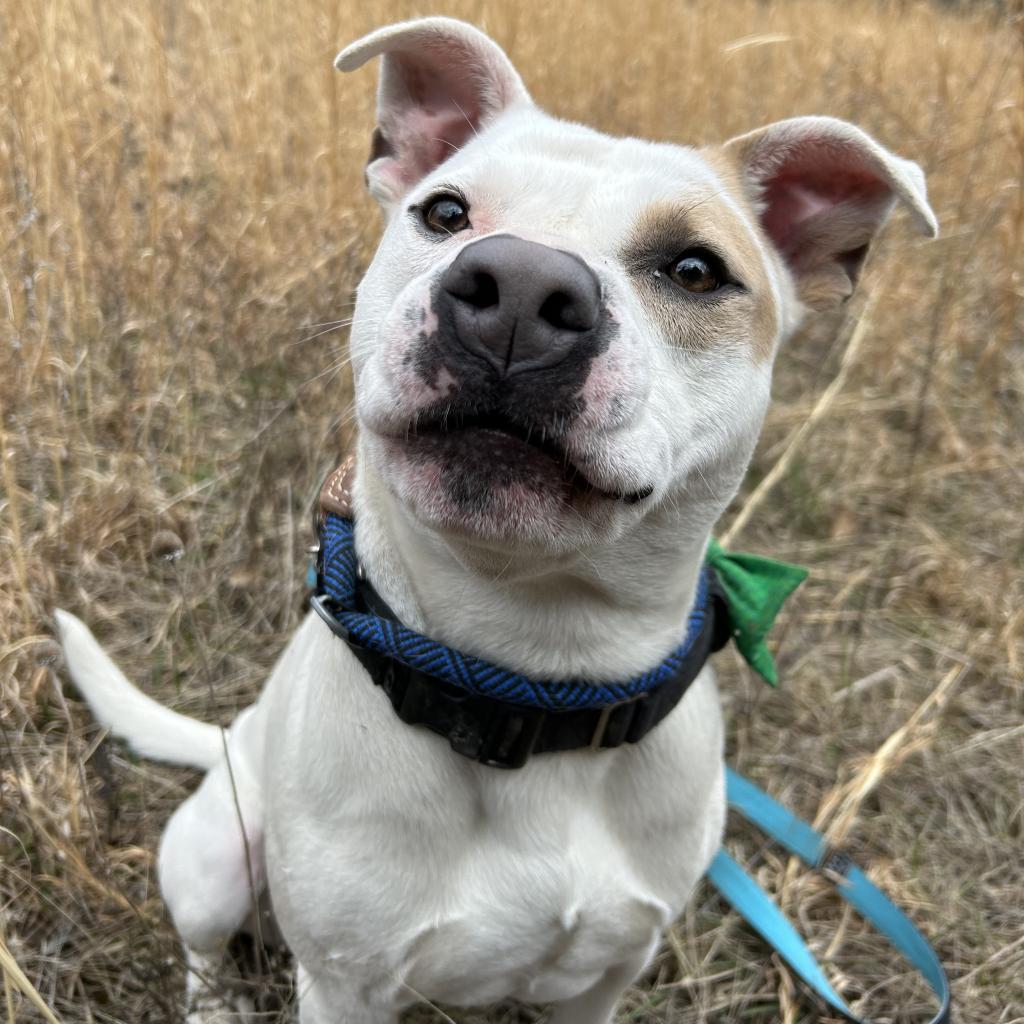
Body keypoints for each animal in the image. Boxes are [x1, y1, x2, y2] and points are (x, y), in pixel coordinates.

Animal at [56, 16, 937, 1024]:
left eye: (695, 270)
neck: (532, 673)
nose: (518, 287)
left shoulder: (603, 977)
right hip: (214, 856)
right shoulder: (345, 986)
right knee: (204, 947)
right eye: (444, 213)